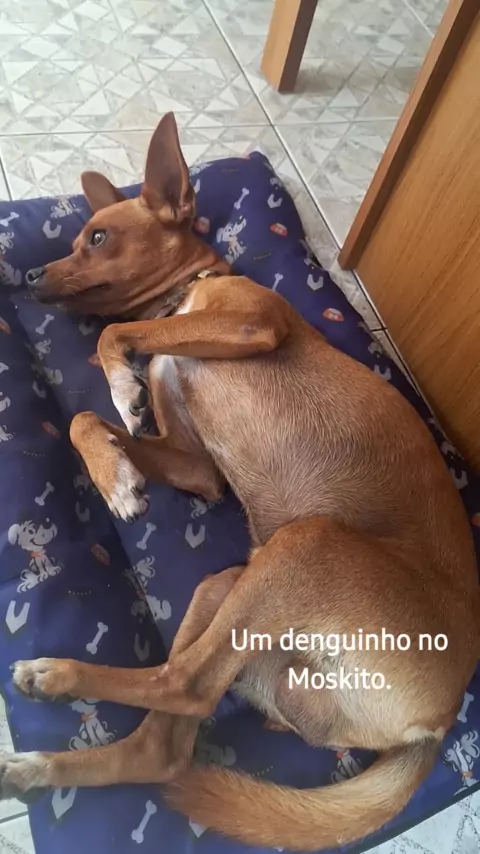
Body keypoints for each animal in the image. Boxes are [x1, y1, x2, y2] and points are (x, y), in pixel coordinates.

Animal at [1, 112, 478, 852]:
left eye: (98, 237)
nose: (28, 275)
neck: (184, 298)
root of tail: (438, 722)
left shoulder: (249, 322)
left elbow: (115, 334)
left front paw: (119, 387)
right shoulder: (197, 467)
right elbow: (87, 417)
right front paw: (117, 468)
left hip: (307, 545)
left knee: (185, 683)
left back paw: (57, 677)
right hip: (228, 587)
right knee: (164, 745)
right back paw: (36, 766)